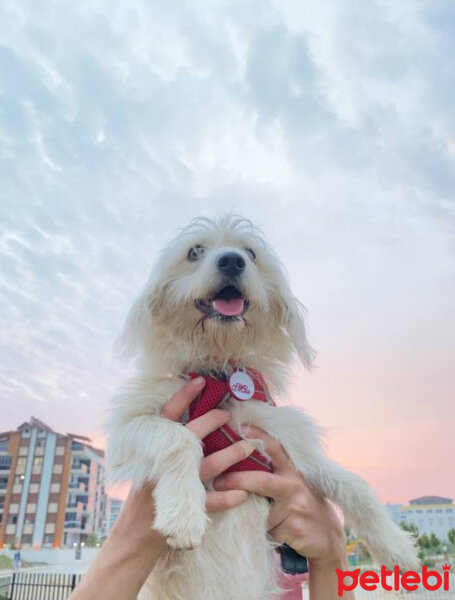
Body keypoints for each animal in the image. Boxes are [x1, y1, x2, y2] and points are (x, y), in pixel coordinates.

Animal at [106, 216, 416, 600]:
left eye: (250, 254)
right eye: (195, 251)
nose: (231, 261)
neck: (220, 375)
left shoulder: (285, 440)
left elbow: (352, 483)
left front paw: (396, 548)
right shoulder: (127, 426)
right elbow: (180, 437)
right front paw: (185, 513)